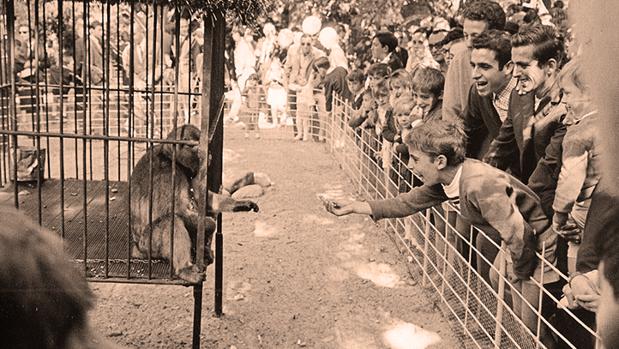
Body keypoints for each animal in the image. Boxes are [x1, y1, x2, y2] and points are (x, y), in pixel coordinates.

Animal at [130, 123, 258, 282]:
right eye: (198, 149)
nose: (209, 155)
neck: (171, 158)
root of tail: (137, 248)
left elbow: (203, 198)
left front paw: (238, 204)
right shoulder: (167, 174)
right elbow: (172, 211)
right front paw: (210, 225)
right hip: (148, 244)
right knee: (170, 220)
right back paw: (184, 268)